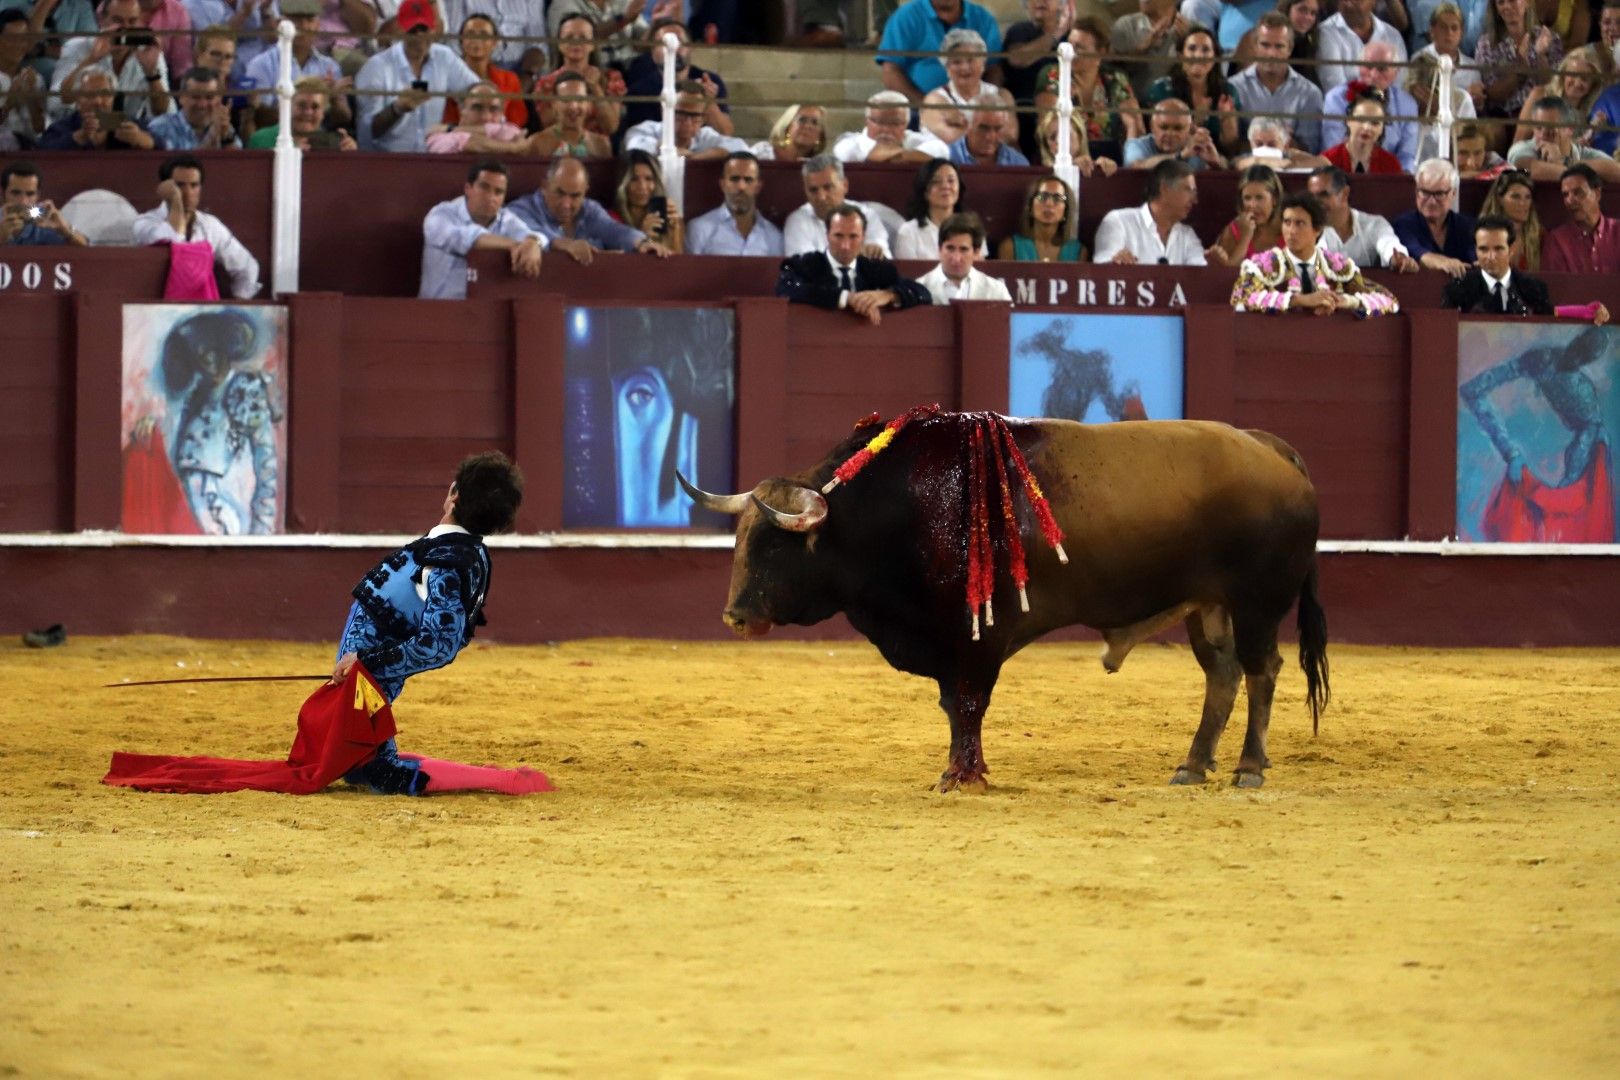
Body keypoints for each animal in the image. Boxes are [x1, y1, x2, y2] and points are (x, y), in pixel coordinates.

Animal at [683, 414, 1328, 793]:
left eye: (773, 546)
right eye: (740, 540)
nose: (734, 616)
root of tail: (1273, 448)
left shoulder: (975, 640)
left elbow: (967, 705)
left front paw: (962, 777)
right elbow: (954, 707)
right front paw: (958, 770)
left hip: (1256, 604)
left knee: (1262, 671)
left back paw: (1249, 768)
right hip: (1207, 607)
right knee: (1222, 675)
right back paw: (1192, 766)